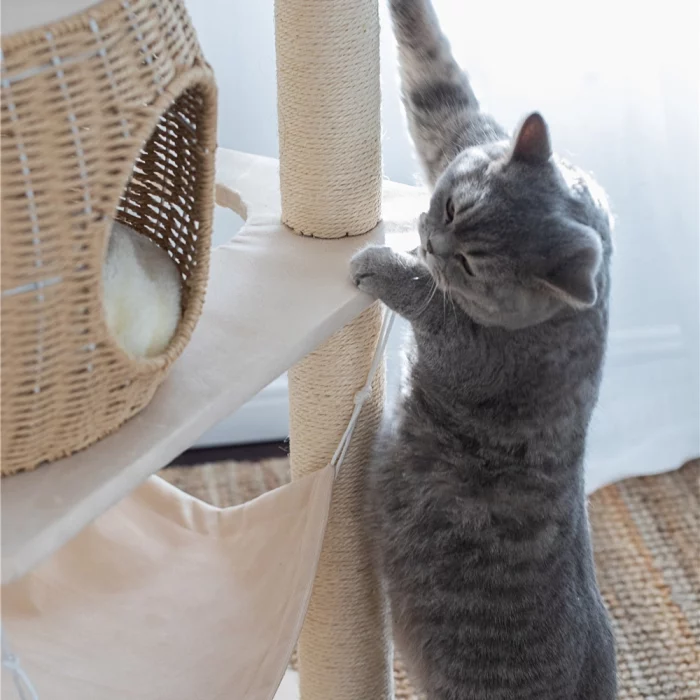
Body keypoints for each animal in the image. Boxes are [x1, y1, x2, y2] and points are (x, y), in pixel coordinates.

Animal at [352, 1, 616, 700]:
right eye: (448, 204)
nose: (429, 241)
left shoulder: (472, 355)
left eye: (472, 263)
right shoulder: (458, 127)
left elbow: (430, 302)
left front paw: (387, 267)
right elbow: (433, 72)